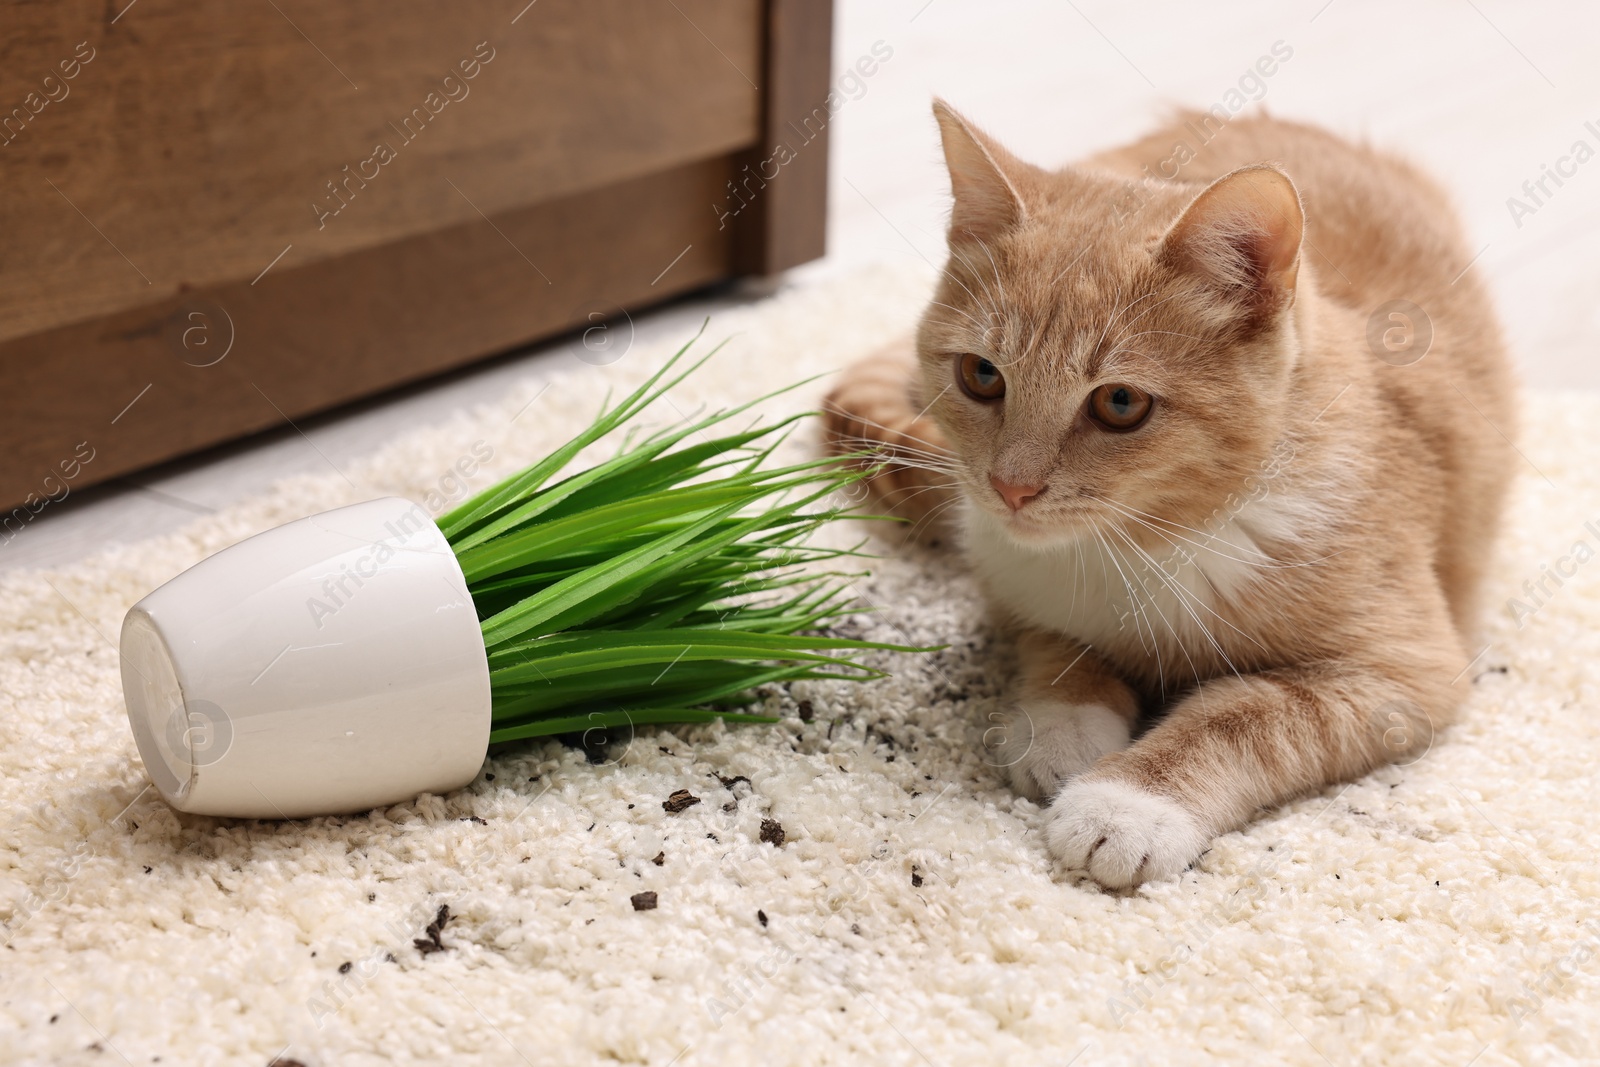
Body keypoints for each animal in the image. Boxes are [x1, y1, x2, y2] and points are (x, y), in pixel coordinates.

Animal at [825, 102, 1510, 883]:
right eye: (982, 375)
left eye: (1120, 403)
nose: (1010, 486)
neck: (1146, 542)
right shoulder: (1011, 582)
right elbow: (1056, 642)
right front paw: (1064, 725)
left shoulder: (1405, 673)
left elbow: (1248, 715)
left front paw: (1128, 803)